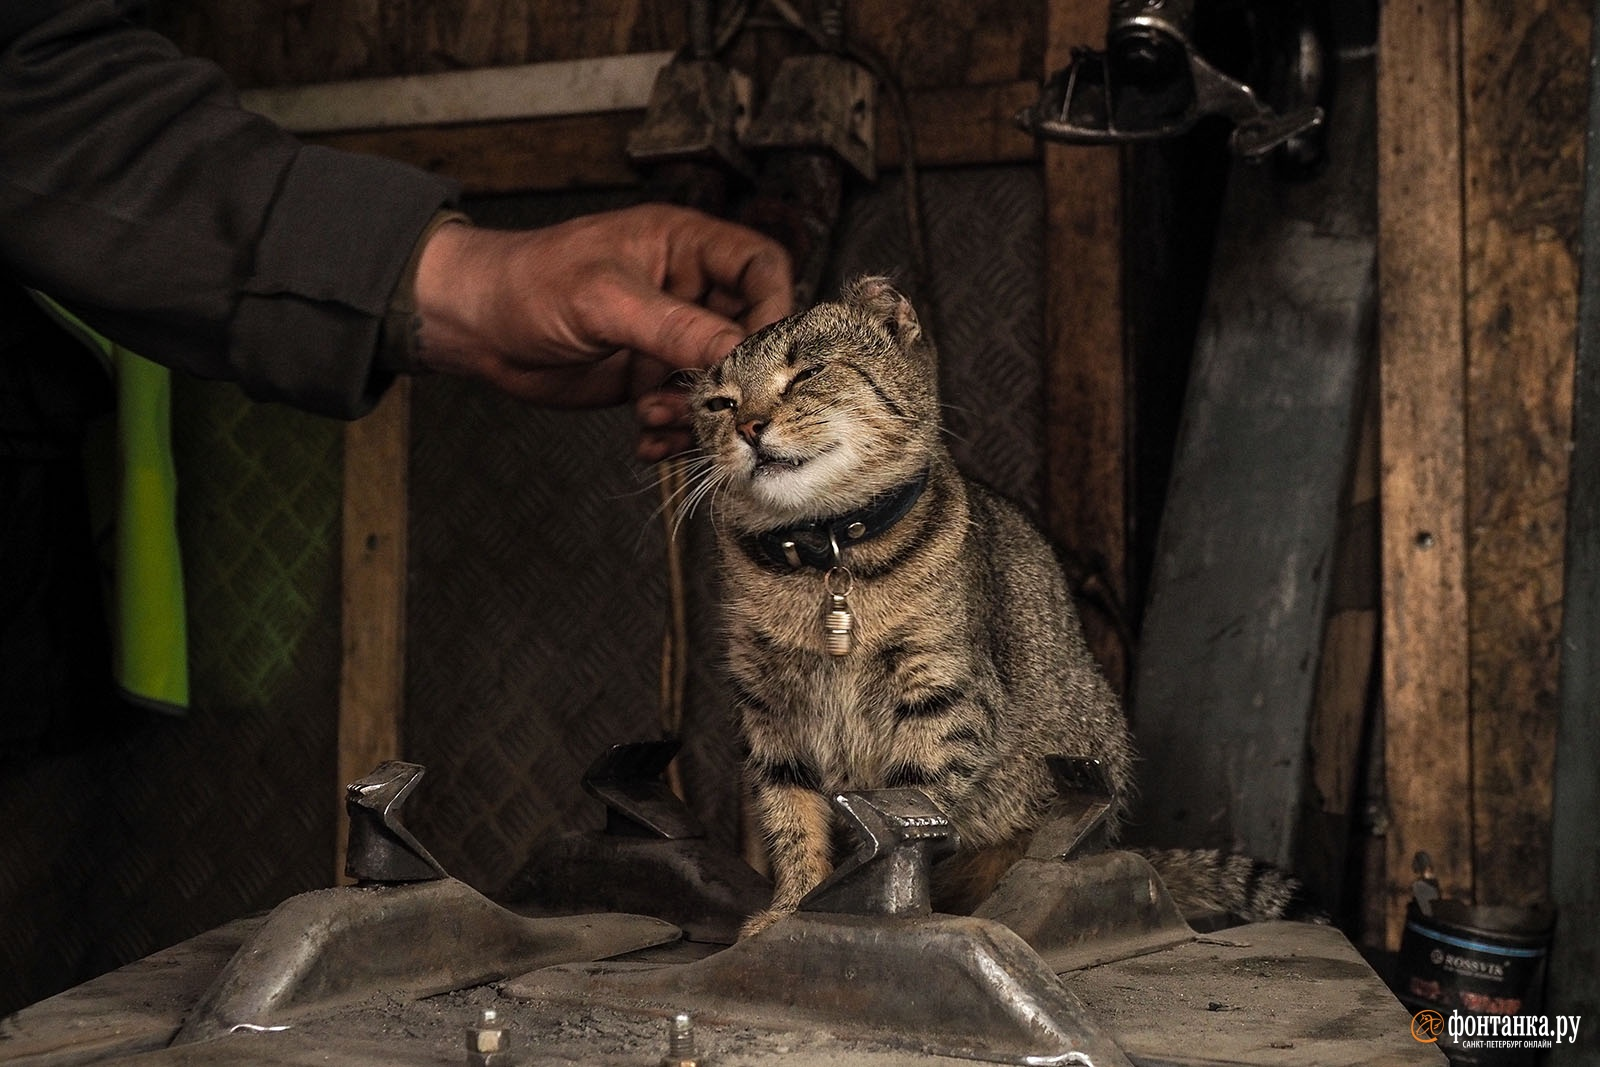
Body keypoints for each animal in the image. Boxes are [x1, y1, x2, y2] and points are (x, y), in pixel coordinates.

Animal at [684, 275, 1286, 934]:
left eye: (808, 373)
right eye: (719, 405)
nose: (749, 426)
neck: (827, 559)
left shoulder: (945, 696)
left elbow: (912, 802)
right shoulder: (766, 708)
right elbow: (791, 817)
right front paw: (789, 909)